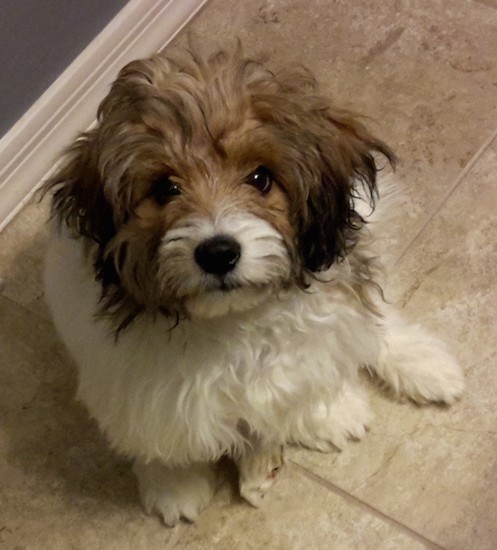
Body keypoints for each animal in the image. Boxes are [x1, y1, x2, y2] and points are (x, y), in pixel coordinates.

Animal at [43, 45, 464, 528]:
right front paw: (172, 482)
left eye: (260, 178)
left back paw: (421, 365)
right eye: (165, 189)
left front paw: (320, 416)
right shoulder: (129, 381)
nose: (218, 252)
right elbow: (154, 430)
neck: (233, 321)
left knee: (369, 313)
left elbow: (308, 372)